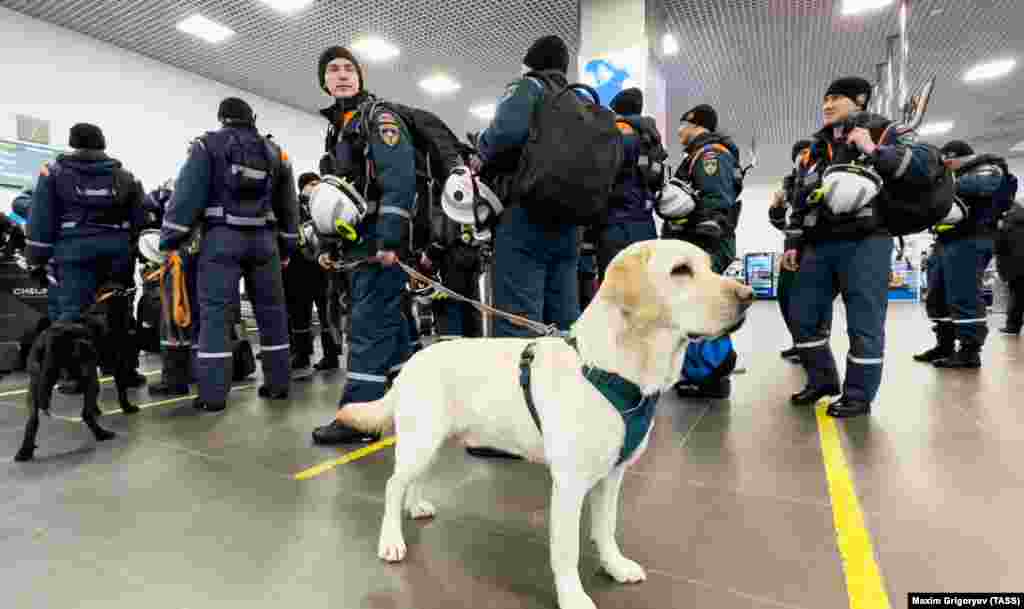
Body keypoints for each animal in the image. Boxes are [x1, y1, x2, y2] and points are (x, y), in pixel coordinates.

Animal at [14, 286, 141, 462]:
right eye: (129, 306)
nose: (134, 324)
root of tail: (51, 337)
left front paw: (97, 409)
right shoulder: (117, 364)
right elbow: (121, 390)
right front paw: (127, 407)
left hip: (35, 385)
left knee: (32, 421)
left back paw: (24, 451)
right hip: (89, 374)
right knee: (85, 414)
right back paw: (102, 434)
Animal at [333, 240, 753, 605]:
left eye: (711, 266)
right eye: (681, 270)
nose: (748, 295)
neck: (615, 370)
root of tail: (412, 361)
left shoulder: (612, 476)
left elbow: (606, 528)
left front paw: (615, 566)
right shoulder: (569, 484)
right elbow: (566, 551)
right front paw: (573, 598)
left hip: (433, 440)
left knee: (412, 480)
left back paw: (416, 506)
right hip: (421, 440)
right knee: (392, 485)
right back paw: (391, 541)